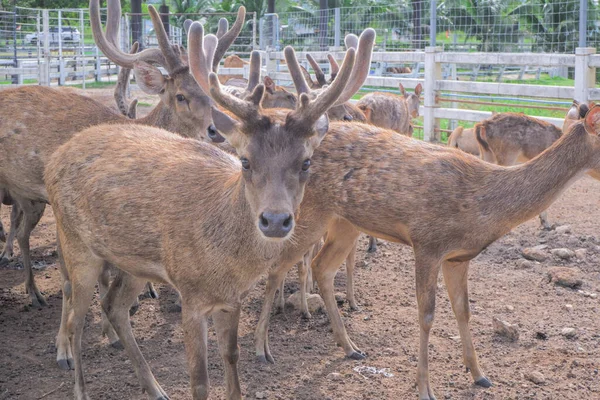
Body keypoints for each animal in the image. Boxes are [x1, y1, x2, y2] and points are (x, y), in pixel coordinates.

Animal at [44, 21, 370, 400]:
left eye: (306, 162)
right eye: (245, 160)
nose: (275, 220)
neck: (224, 263)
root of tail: (57, 155)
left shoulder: (231, 298)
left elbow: (231, 356)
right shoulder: (191, 294)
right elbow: (199, 379)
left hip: (133, 262)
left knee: (113, 306)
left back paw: (155, 387)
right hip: (76, 244)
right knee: (76, 318)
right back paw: (79, 382)